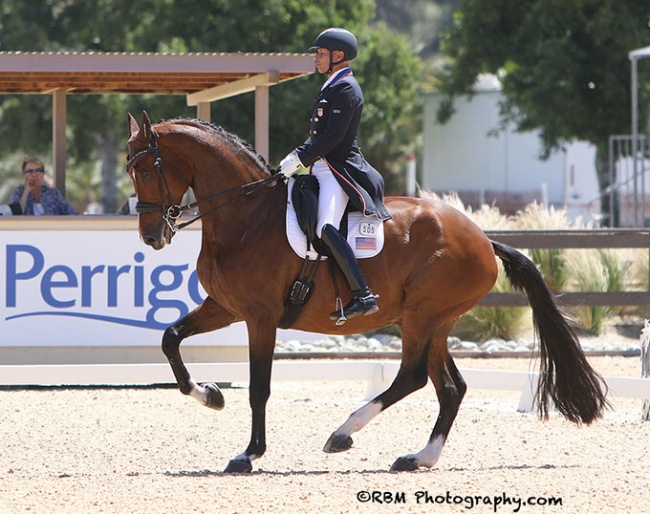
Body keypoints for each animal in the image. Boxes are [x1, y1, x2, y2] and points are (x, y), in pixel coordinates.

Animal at [126, 112, 608, 472]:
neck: (246, 215)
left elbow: (259, 387)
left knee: (413, 377)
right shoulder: (225, 307)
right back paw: (419, 457)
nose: (152, 236)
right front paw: (210, 395)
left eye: (146, 169)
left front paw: (248, 454)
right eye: (131, 170)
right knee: (450, 387)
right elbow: (170, 339)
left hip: (421, 317)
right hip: (436, 321)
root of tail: (484, 240)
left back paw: (343, 433)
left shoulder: (260, 317)